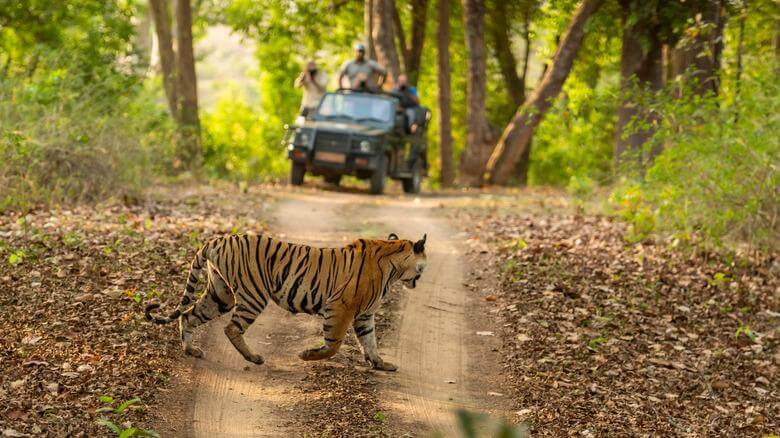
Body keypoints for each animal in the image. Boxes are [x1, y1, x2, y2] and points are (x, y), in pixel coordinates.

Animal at [145, 232, 427, 371]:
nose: (421, 278)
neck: (394, 268)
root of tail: (216, 239)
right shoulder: (340, 307)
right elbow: (334, 344)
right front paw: (307, 355)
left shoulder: (365, 315)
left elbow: (370, 341)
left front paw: (381, 364)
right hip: (253, 295)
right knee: (231, 328)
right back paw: (254, 358)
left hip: (220, 293)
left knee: (188, 315)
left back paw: (191, 350)